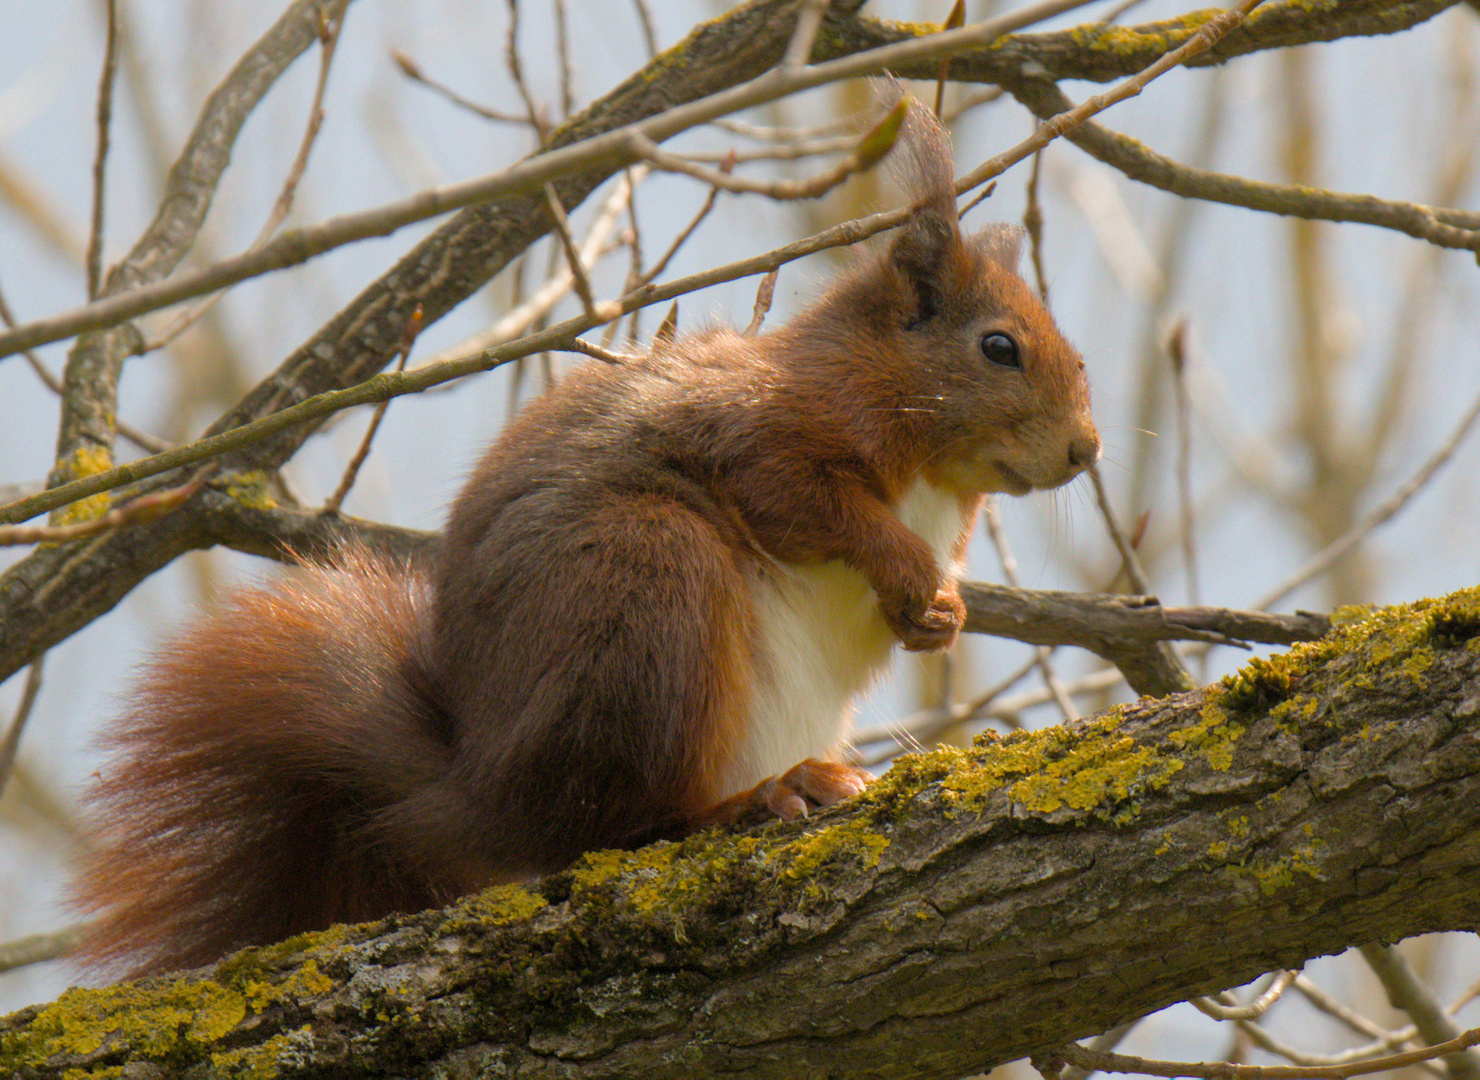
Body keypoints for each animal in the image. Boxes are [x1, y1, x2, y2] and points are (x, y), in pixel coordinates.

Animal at [69, 96, 1101, 976]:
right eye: (999, 347)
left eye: (1078, 353)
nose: (1086, 450)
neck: (933, 466)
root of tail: (480, 795)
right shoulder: (762, 432)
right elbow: (803, 501)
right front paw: (908, 569)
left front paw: (943, 612)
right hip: (648, 590)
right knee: (625, 822)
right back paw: (758, 797)